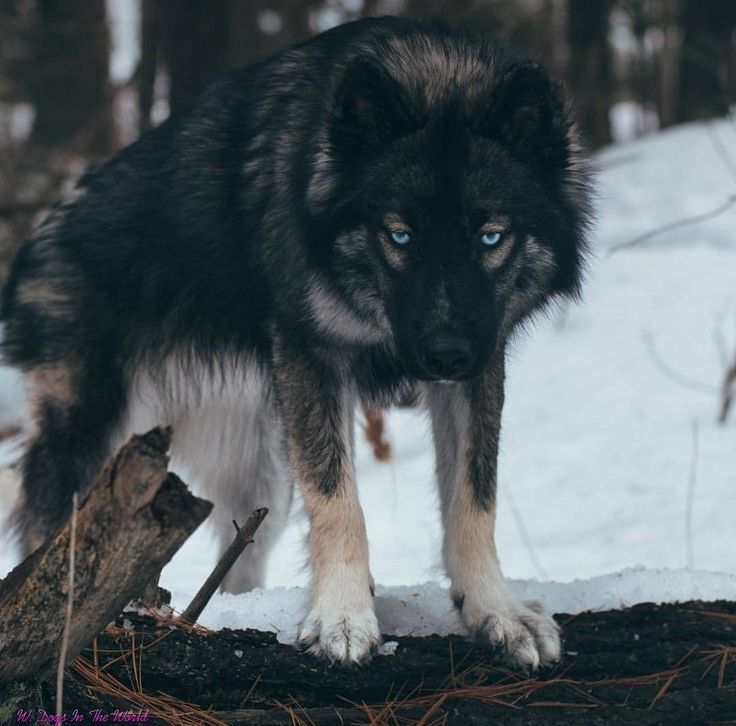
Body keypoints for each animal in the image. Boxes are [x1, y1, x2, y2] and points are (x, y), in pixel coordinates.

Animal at [1, 15, 592, 672]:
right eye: (399, 236)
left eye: (491, 236)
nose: (444, 355)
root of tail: (39, 237)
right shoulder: (315, 358)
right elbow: (341, 504)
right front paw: (342, 617)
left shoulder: (481, 365)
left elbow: (474, 500)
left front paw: (496, 612)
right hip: (94, 439)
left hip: (260, 478)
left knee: (234, 562)